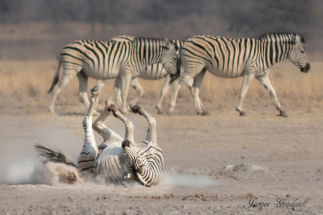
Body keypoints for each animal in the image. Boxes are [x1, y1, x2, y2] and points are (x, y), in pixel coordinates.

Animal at [35, 85, 165, 186]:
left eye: (129, 160)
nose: (124, 144)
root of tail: (79, 169)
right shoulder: (149, 141)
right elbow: (151, 121)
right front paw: (135, 107)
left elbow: (131, 123)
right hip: (113, 138)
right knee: (96, 124)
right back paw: (109, 104)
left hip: (90, 150)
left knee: (87, 121)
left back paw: (98, 96)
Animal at [48, 36, 180, 115]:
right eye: (174, 58)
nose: (176, 75)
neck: (138, 56)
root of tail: (64, 48)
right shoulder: (127, 72)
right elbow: (124, 92)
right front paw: (125, 110)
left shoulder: (121, 74)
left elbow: (119, 91)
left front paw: (122, 108)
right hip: (71, 69)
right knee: (57, 87)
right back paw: (51, 110)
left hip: (82, 73)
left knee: (82, 92)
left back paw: (94, 112)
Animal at [168, 32, 310, 116]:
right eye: (302, 51)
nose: (308, 68)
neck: (265, 53)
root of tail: (185, 41)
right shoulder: (250, 72)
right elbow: (243, 91)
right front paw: (240, 110)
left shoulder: (262, 75)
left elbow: (272, 91)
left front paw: (281, 110)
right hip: (192, 68)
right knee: (177, 85)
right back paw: (170, 109)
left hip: (201, 69)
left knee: (194, 89)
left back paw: (201, 111)